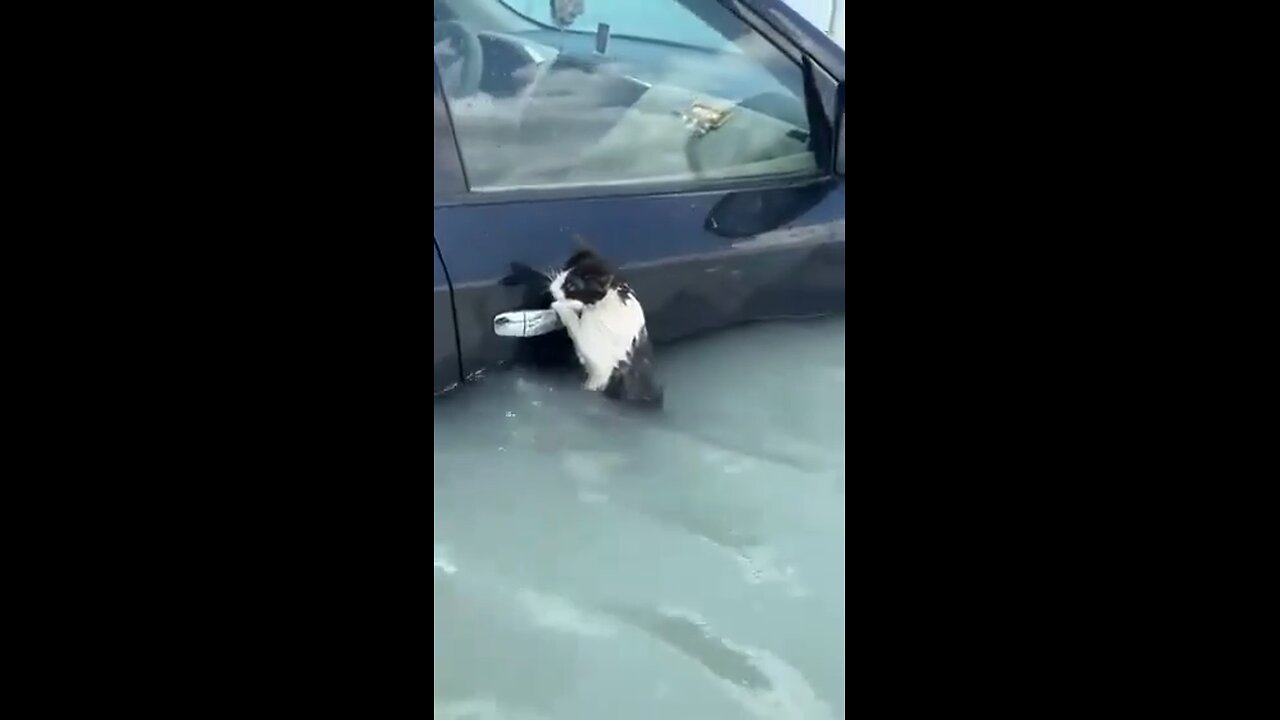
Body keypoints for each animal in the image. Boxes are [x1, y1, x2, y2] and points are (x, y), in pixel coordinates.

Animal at [547, 248, 665, 407]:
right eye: (562, 272)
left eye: (571, 286)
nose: (551, 288)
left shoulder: (592, 346)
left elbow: (575, 324)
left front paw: (561, 306)